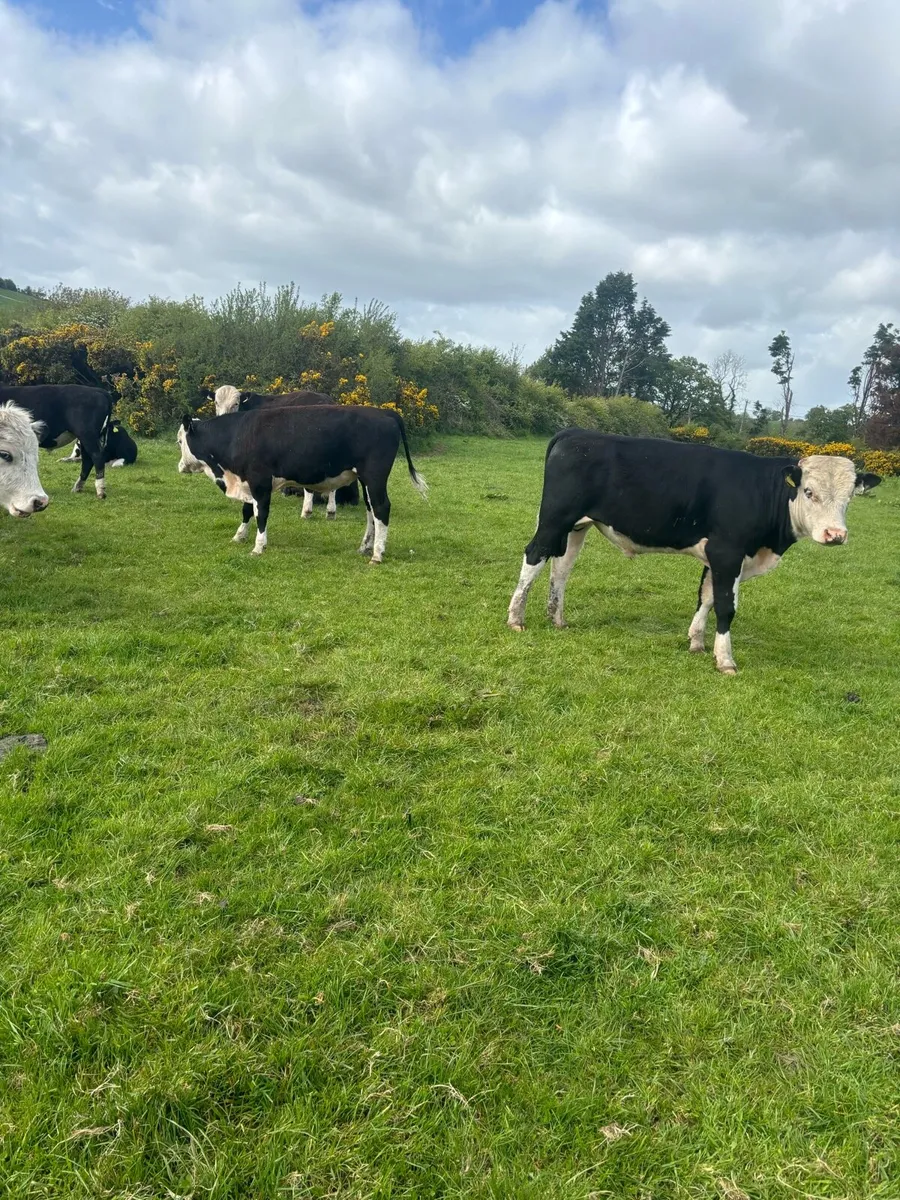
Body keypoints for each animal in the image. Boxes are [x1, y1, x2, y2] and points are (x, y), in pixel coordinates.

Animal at [177, 403, 428, 561]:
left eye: (180, 441)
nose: (180, 466)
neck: (237, 435)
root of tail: (384, 413)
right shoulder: (248, 481)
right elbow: (247, 511)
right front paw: (239, 536)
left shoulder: (260, 481)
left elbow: (261, 514)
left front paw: (258, 547)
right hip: (365, 480)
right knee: (371, 511)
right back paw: (365, 547)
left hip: (375, 476)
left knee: (381, 507)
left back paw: (377, 554)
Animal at [507, 431, 882, 674]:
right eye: (808, 491)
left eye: (849, 497)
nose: (835, 535)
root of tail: (575, 432)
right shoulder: (727, 551)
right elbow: (726, 606)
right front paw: (725, 660)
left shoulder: (719, 556)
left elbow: (706, 596)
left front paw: (697, 642)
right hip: (556, 518)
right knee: (534, 556)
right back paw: (516, 619)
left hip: (577, 526)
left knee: (561, 568)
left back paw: (557, 619)